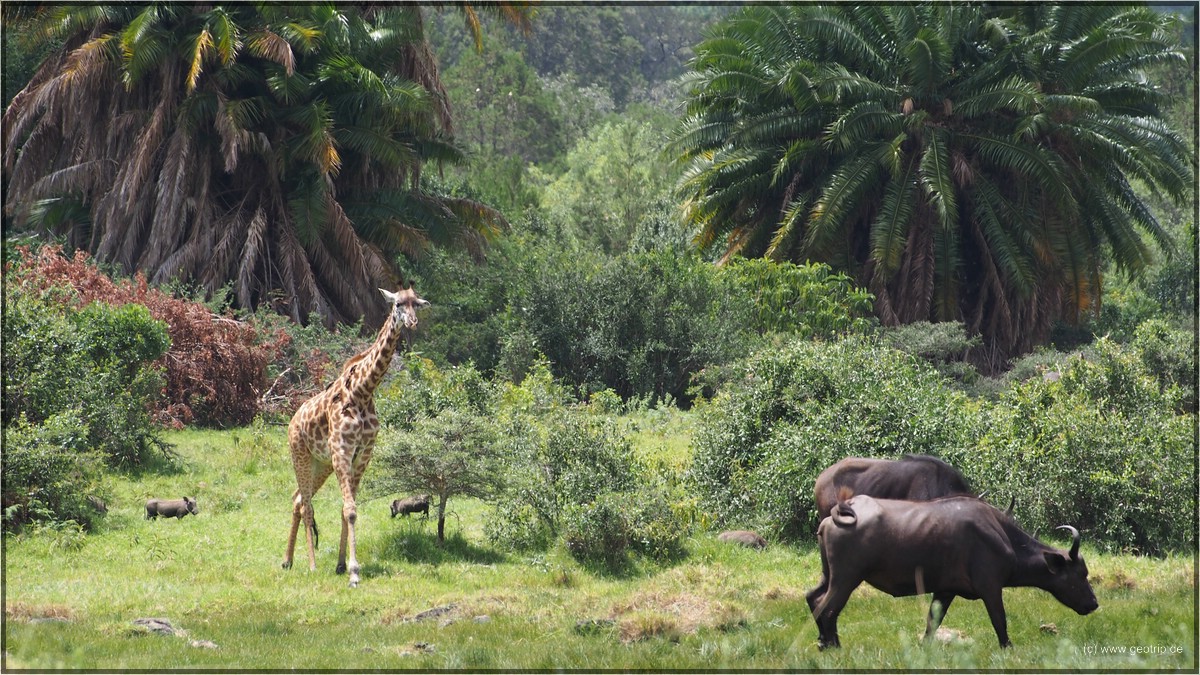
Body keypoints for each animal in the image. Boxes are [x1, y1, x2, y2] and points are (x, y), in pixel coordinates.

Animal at [282, 283, 429, 583]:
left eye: (416, 304)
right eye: (397, 304)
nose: (412, 322)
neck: (363, 391)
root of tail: (293, 419)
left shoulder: (362, 453)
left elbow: (345, 508)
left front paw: (341, 565)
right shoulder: (342, 449)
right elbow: (350, 510)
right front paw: (353, 572)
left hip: (321, 464)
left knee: (298, 498)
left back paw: (288, 561)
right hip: (300, 454)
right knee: (306, 504)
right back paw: (311, 565)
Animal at [806, 494, 1099, 648]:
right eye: (1079, 575)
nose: (1094, 603)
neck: (1002, 537)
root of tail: (838, 513)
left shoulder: (945, 592)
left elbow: (932, 623)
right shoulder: (990, 588)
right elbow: (1000, 620)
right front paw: (1008, 648)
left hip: (829, 575)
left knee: (812, 596)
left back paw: (822, 641)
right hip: (847, 578)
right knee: (828, 608)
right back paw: (833, 646)